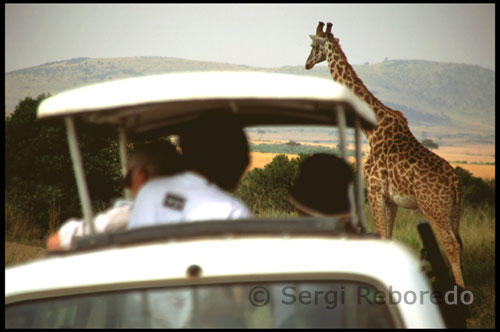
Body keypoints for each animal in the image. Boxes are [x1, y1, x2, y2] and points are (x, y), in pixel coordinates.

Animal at [304, 21, 464, 288]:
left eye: (313, 46)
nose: (306, 63)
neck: (373, 128)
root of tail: (455, 182)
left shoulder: (375, 190)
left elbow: (381, 236)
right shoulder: (391, 198)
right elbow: (388, 237)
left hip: (433, 208)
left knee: (450, 244)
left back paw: (460, 291)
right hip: (453, 211)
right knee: (459, 244)